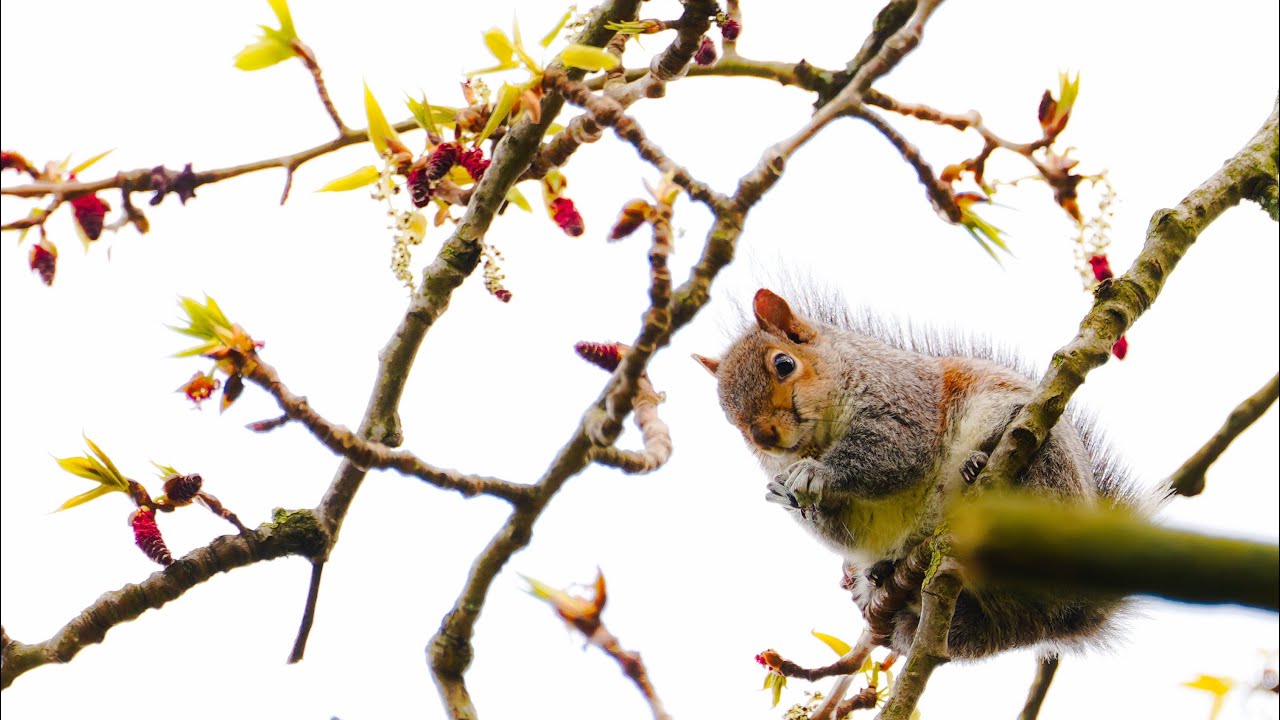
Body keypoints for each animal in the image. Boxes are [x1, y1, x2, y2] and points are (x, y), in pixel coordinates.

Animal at [694, 288, 1147, 660]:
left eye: (784, 364)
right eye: (729, 417)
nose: (763, 437)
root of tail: (1066, 610)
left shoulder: (904, 403)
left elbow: (892, 453)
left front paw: (816, 472)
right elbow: (840, 529)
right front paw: (784, 493)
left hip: (1045, 456)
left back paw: (980, 468)